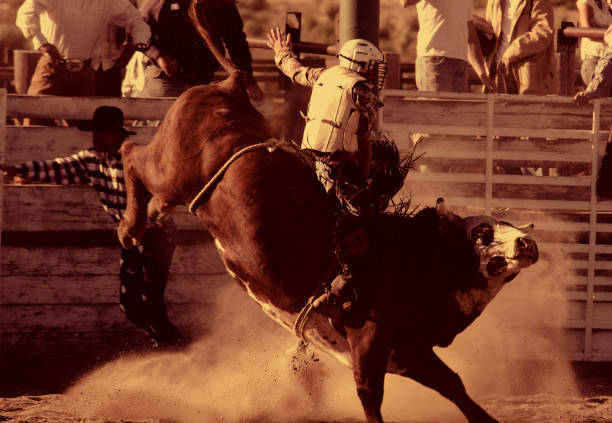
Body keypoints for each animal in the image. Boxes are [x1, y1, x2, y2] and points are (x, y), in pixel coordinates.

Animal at [117, 70, 536, 423]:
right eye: (481, 233)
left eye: (508, 225)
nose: (527, 242)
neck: (418, 259)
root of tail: (228, 87)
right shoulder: (368, 339)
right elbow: (370, 396)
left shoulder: (409, 352)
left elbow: (454, 386)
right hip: (170, 169)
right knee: (130, 153)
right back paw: (129, 227)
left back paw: (148, 217)